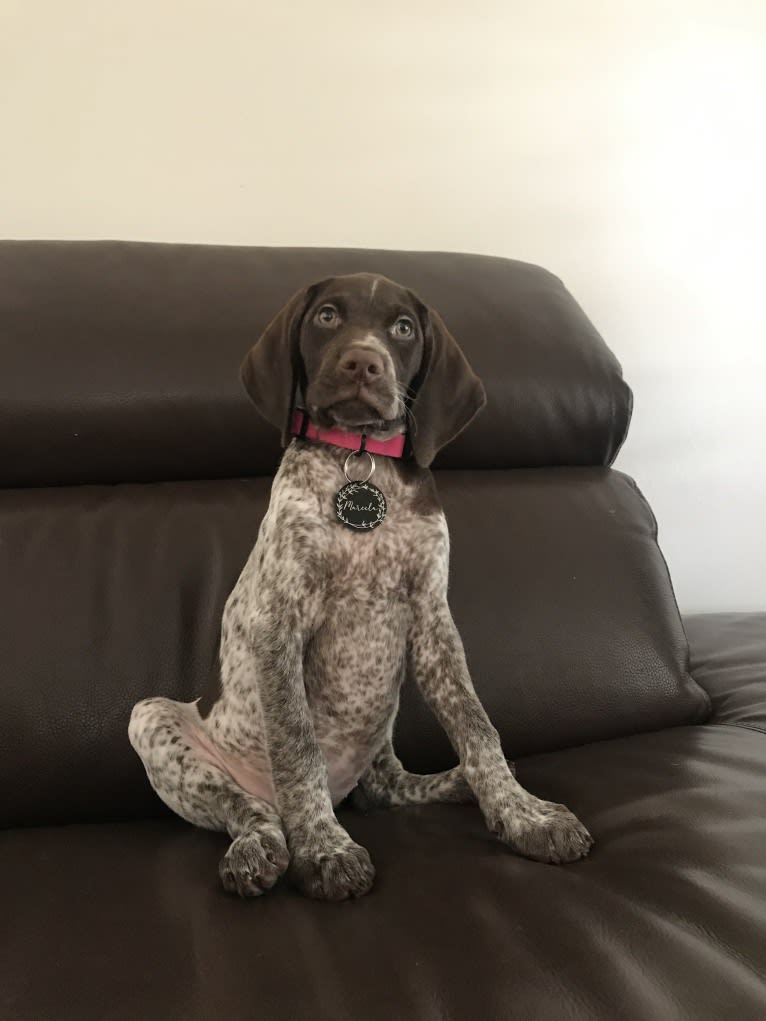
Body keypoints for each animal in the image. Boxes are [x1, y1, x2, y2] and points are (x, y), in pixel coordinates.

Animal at [130, 273, 592, 902]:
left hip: (381, 732)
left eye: (403, 328)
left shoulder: (432, 621)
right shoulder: (279, 625)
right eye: (327, 316)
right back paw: (259, 846)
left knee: (388, 789)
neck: (361, 460)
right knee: (251, 808)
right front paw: (324, 849)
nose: (363, 363)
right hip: (153, 719)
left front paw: (524, 814)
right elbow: (298, 749)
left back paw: (454, 784)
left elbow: (477, 727)